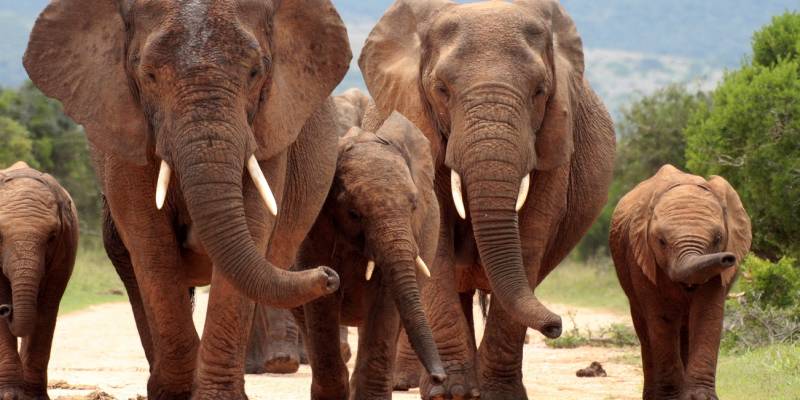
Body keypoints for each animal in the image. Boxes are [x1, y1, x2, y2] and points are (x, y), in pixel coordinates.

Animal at [0, 161, 78, 400]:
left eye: (51, 237)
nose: (6, 309)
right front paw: (9, 395)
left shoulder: (66, 246)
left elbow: (46, 307)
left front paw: (32, 397)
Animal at [24, 1, 351, 398]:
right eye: (149, 75)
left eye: (255, 72)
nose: (329, 275)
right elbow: (149, 241)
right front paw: (177, 394)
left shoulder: (269, 127)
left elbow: (253, 225)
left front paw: (217, 396)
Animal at [296, 111, 446, 399]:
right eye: (354, 213)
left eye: (414, 206)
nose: (440, 377)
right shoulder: (314, 229)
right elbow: (321, 302)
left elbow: (385, 302)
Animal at [358, 0, 616, 397]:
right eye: (441, 89)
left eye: (540, 91)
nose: (556, 326)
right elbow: (437, 239)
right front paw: (452, 393)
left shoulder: (556, 139)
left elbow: (531, 234)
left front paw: (498, 393)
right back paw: (415, 382)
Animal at [609, 165, 752, 400]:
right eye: (661, 241)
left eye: (718, 238)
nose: (728, 258)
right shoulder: (641, 258)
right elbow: (661, 318)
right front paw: (671, 398)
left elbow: (707, 314)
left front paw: (700, 398)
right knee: (645, 331)